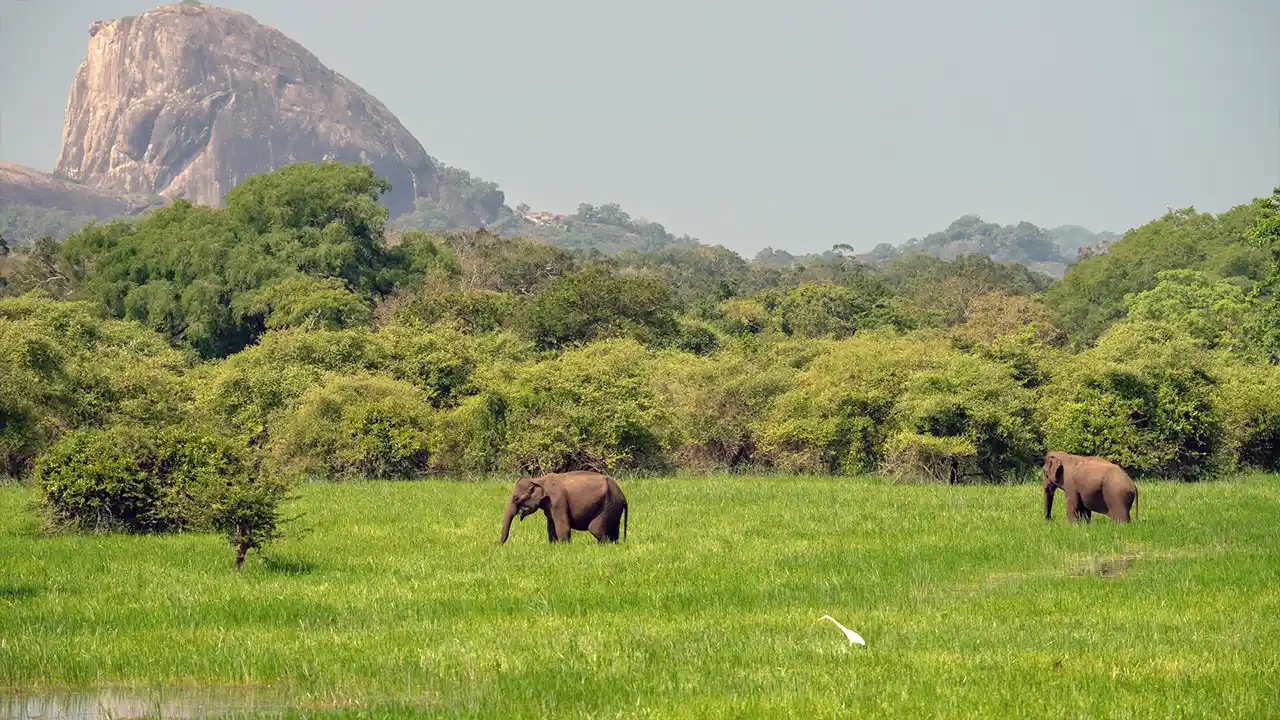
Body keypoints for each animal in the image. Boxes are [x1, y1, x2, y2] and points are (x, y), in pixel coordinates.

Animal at [496, 470, 628, 544]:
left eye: (516, 498)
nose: (496, 543)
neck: (538, 479)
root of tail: (623, 496)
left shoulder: (557, 501)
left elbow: (562, 526)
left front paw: (565, 547)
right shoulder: (549, 506)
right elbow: (551, 527)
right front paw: (553, 546)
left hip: (607, 505)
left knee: (595, 529)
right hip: (614, 508)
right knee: (613, 530)